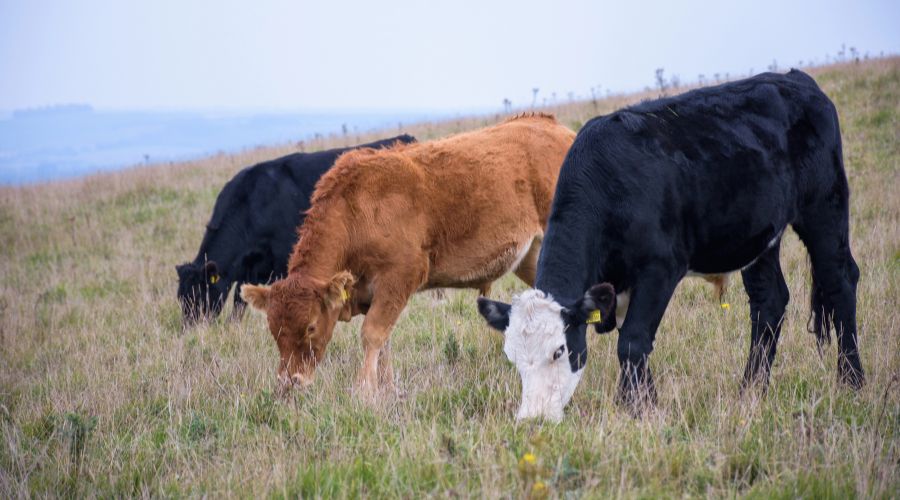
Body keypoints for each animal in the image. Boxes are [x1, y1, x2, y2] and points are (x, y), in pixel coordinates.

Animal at [241, 114, 576, 398]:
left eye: (310, 326)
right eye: (273, 329)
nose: (290, 382)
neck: (355, 210)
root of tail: (554, 127)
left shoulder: (399, 277)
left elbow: (372, 334)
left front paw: (364, 392)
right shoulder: (373, 293)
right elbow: (384, 342)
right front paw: (387, 389)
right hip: (531, 256)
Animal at [478, 69, 864, 422]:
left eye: (559, 350)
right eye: (513, 358)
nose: (533, 419)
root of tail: (797, 79)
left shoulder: (660, 267)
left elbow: (632, 341)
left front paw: (639, 411)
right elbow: (635, 342)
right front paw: (640, 404)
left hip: (825, 204)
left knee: (839, 279)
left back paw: (851, 382)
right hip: (760, 235)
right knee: (769, 300)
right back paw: (751, 392)